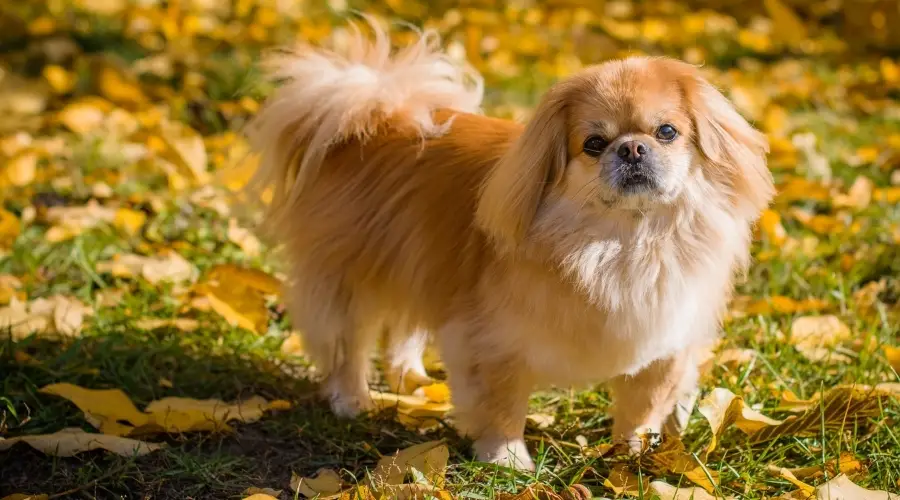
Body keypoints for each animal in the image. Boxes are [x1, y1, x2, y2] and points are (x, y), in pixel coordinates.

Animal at [246, 21, 772, 470]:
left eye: (666, 132)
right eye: (594, 144)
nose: (632, 147)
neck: (623, 244)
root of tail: (381, 117)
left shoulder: (665, 344)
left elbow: (641, 408)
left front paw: (633, 456)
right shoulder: (493, 343)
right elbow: (501, 405)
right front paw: (507, 459)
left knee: (403, 327)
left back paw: (410, 378)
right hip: (351, 278)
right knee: (347, 343)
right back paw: (352, 400)